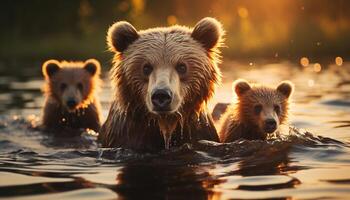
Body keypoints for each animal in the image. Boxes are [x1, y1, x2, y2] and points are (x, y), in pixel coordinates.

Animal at [99, 17, 224, 152]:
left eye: (182, 66)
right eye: (146, 67)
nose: (161, 95)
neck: (164, 123)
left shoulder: (198, 131)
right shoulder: (126, 133)